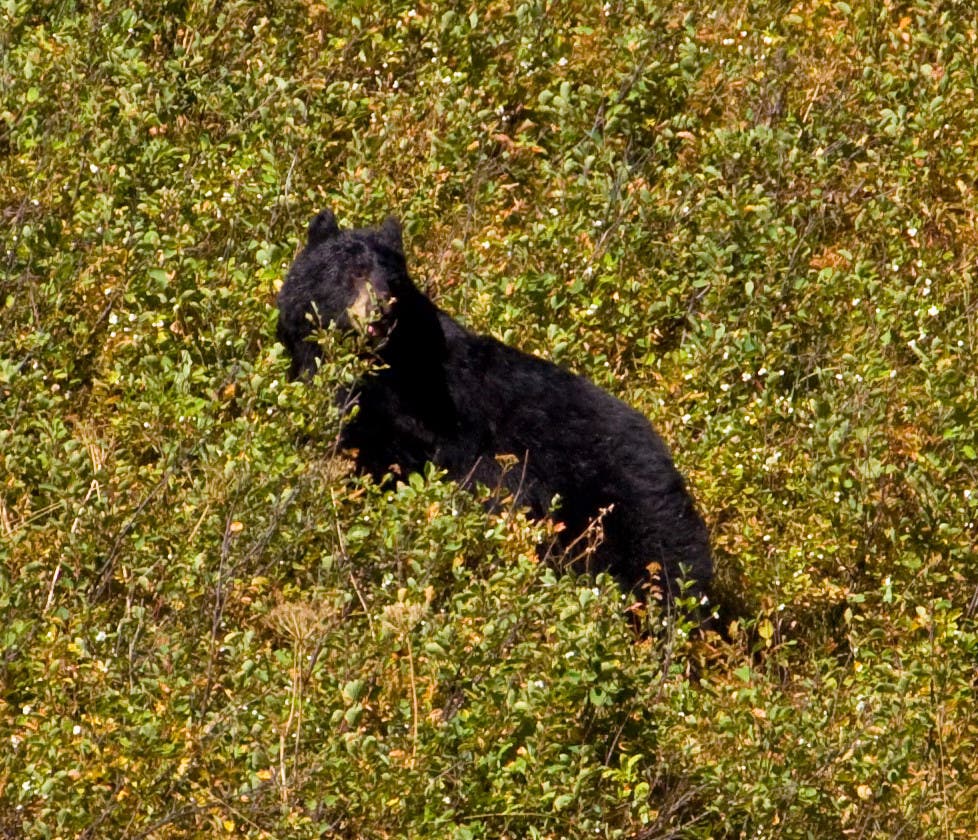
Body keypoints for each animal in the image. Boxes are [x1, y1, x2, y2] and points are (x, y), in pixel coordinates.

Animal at [276, 209, 713, 610]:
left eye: (395, 280)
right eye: (355, 272)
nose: (383, 309)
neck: (383, 360)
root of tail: (666, 459)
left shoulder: (423, 413)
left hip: (623, 508)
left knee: (667, 571)